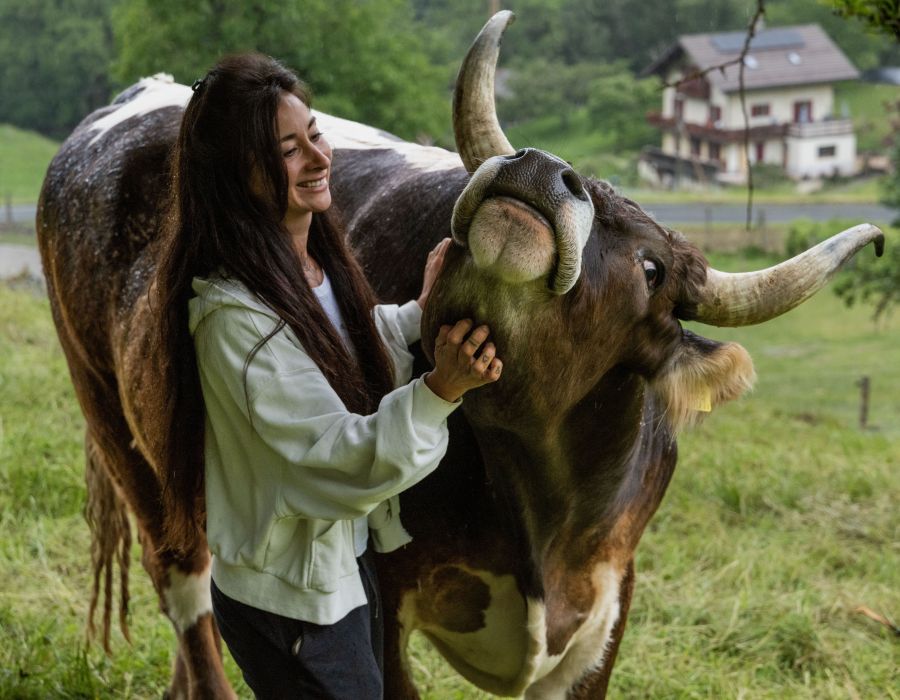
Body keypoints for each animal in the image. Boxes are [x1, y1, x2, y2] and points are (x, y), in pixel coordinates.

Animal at [36, 11, 883, 699]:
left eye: (652, 268)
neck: (544, 500)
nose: (540, 168)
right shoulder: (382, 599)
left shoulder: (605, 614)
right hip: (114, 417)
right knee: (185, 584)